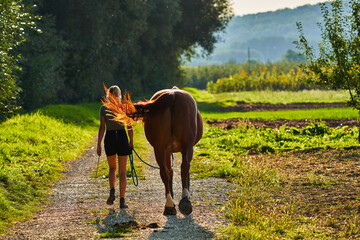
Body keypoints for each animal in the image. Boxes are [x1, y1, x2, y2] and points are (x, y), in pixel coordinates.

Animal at [102, 86, 202, 216]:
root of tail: (172, 95)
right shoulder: (171, 150)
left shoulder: (166, 151)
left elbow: (170, 172)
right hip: (186, 147)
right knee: (184, 168)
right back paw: (184, 201)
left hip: (160, 149)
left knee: (164, 172)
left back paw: (169, 205)